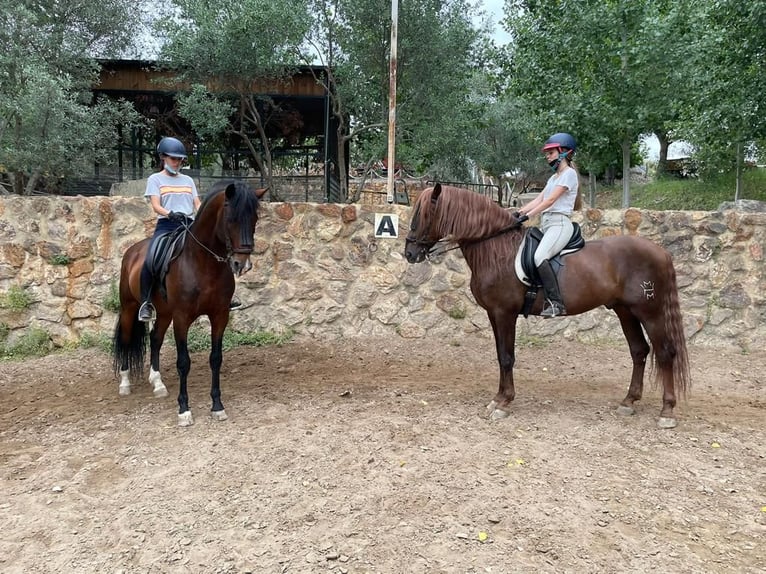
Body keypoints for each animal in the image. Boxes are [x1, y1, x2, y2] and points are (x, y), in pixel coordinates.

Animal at [113, 180, 267, 426]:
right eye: (231, 218)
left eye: (254, 219)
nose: (242, 264)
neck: (203, 263)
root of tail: (132, 251)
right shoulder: (182, 318)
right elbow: (183, 362)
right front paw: (184, 410)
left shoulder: (219, 315)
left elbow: (216, 359)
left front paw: (217, 406)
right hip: (129, 307)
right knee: (126, 339)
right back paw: (125, 383)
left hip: (164, 313)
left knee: (155, 339)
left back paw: (158, 383)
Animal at [404, 184, 691, 428]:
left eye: (423, 215)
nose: (409, 253)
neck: (495, 250)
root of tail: (661, 252)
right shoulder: (493, 314)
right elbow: (500, 355)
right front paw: (498, 399)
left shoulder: (504, 313)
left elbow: (507, 357)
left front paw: (504, 402)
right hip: (625, 311)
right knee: (639, 351)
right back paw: (629, 401)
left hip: (650, 312)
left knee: (665, 353)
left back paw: (667, 412)